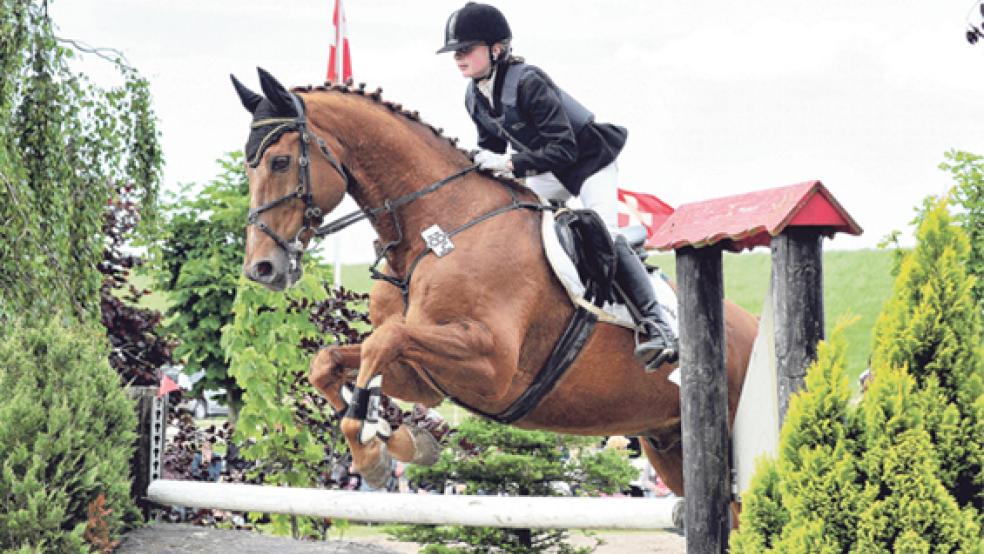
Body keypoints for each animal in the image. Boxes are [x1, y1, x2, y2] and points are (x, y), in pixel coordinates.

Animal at [234, 67, 756, 494]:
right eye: (247, 164)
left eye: (280, 162)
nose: (262, 269)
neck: (436, 231)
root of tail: (755, 327)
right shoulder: (426, 378)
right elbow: (332, 361)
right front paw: (395, 439)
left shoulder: (491, 366)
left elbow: (385, 340)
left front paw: (372, 451)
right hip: (668, 444)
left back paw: (658, 337)